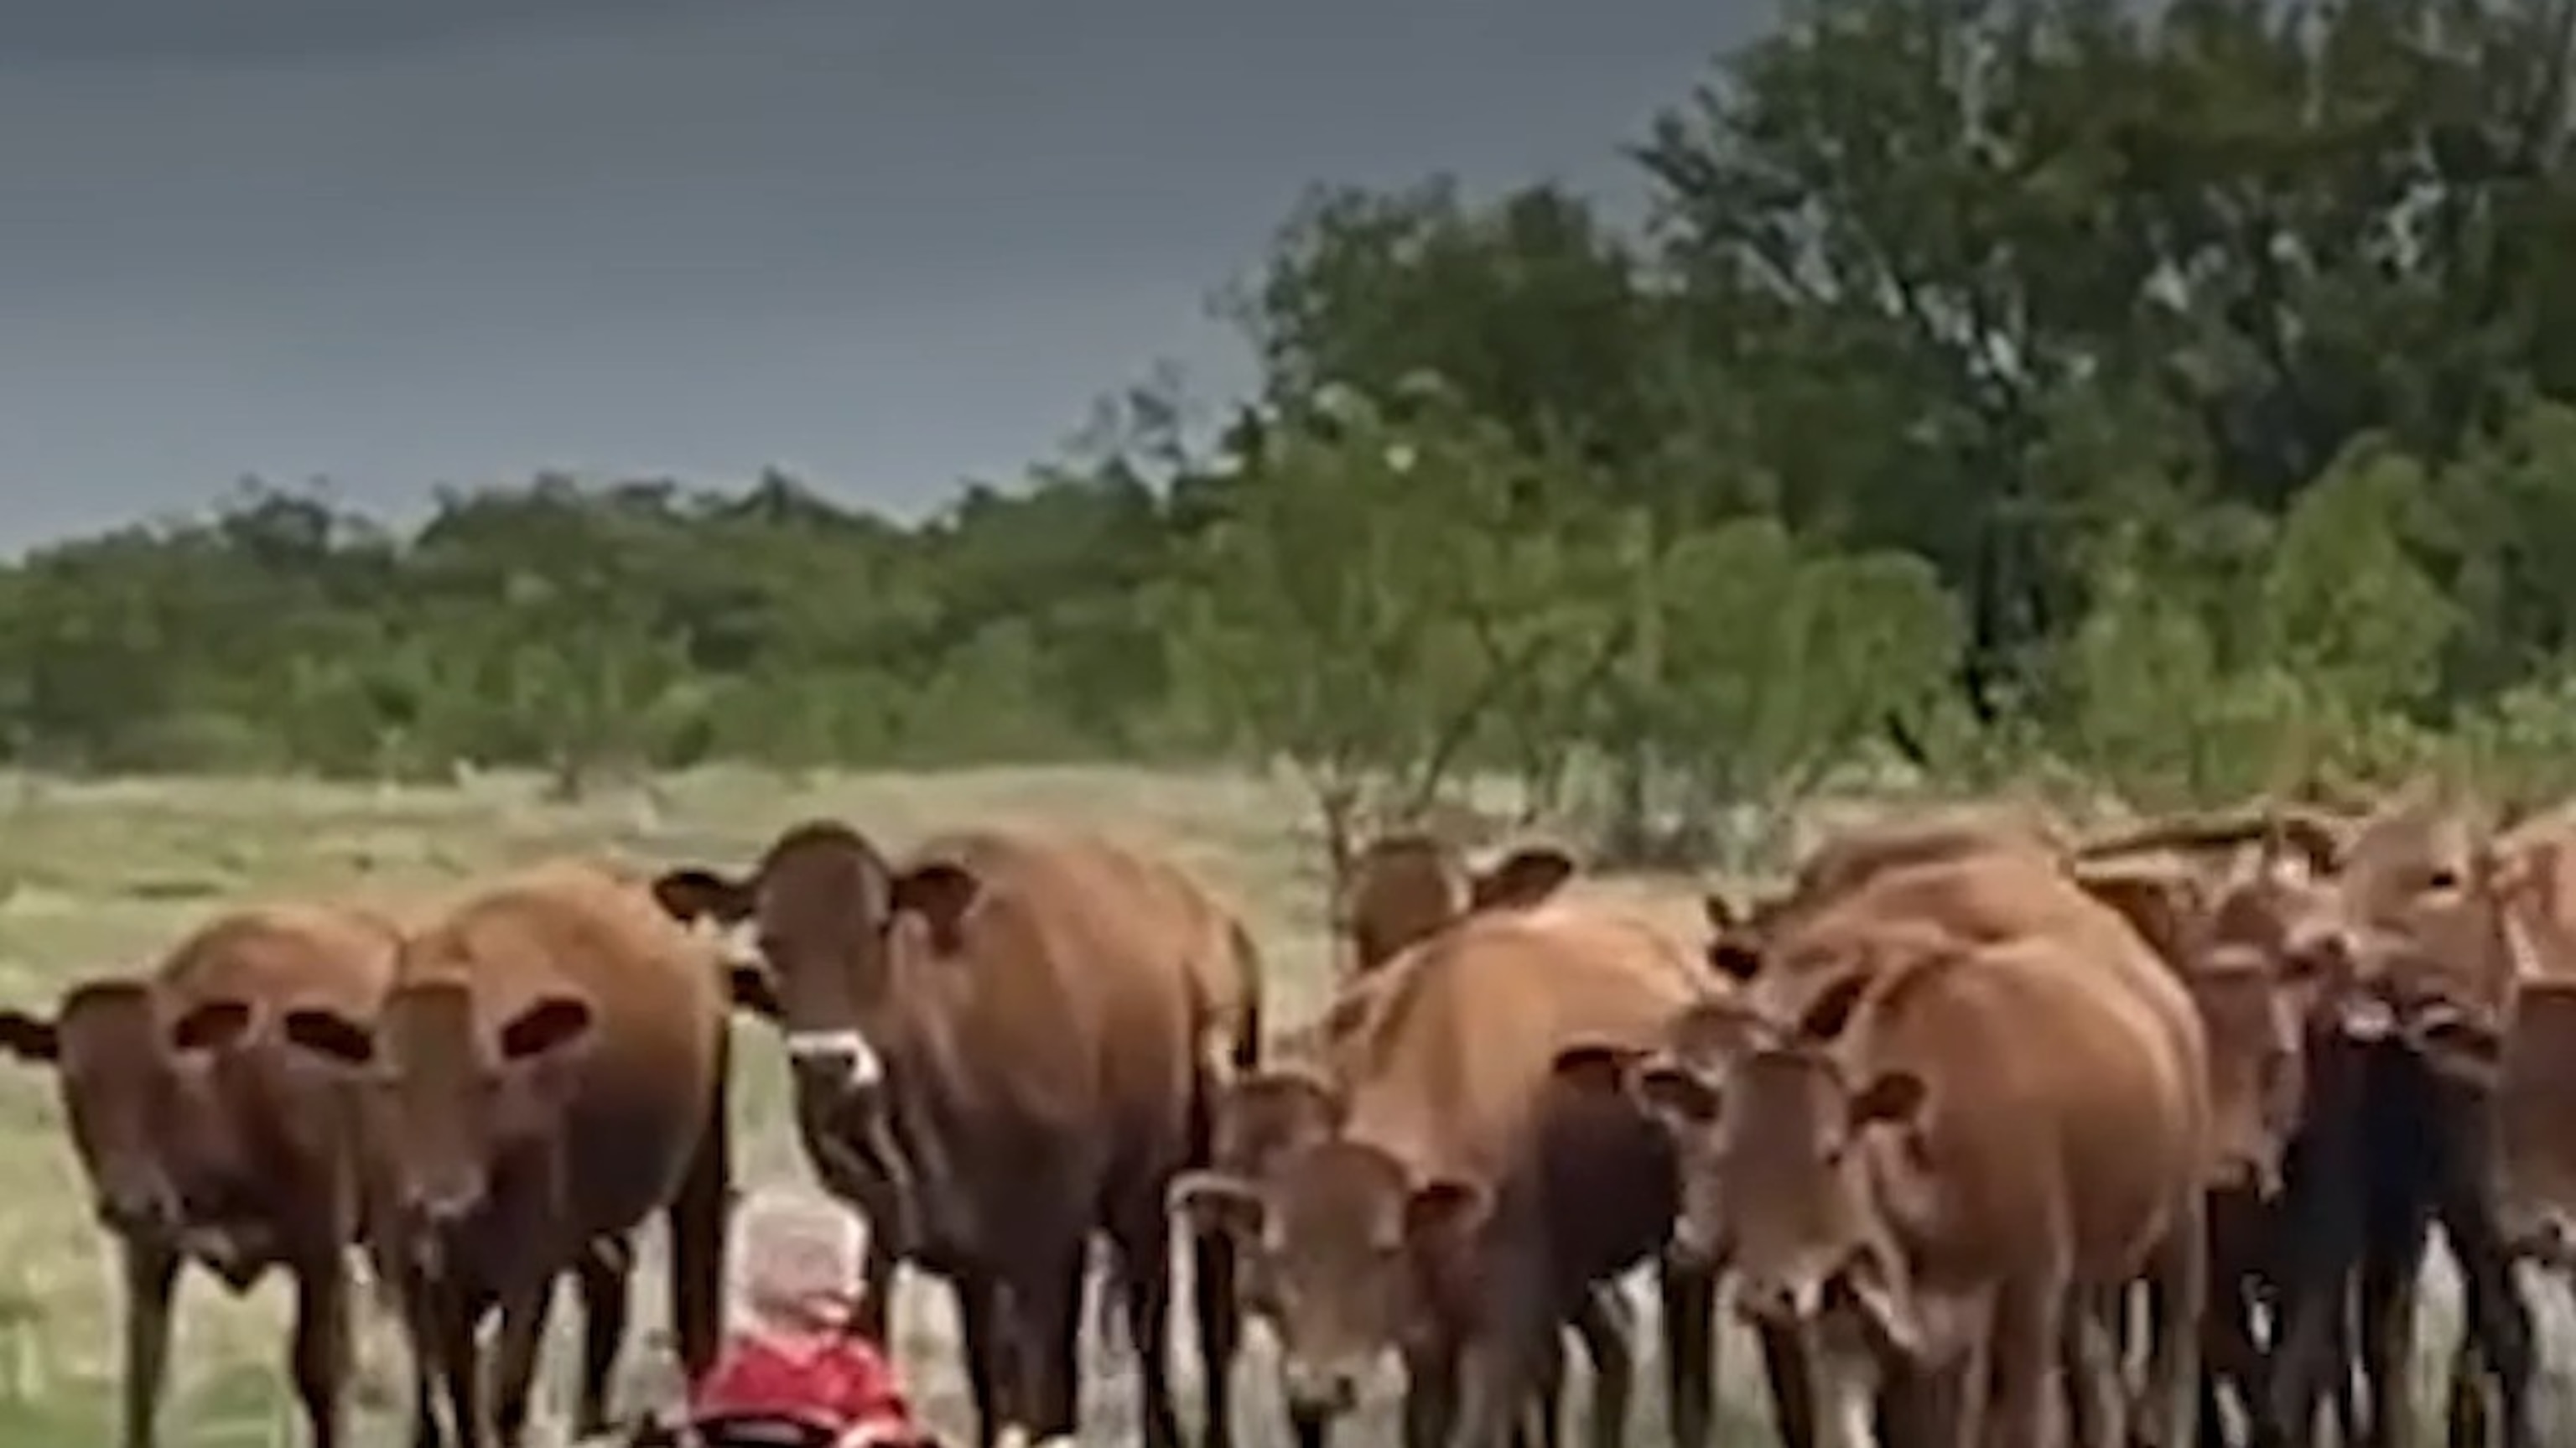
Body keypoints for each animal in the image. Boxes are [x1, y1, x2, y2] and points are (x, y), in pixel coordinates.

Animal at [0, 901, 402, 1448]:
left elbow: (322, 1375)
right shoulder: (150, 1252)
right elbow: (145, 1377)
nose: (129, 1201)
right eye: (72, 1081)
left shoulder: (323, 1252)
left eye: (164, 1075)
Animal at [270, 859, 734, 1448]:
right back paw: (589, 1422)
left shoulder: (527, 1268)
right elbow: (459, 1395)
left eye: (490, 1080)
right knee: (609, 1280)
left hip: (703, 1163)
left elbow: (505, 1392)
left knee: (696, 1304)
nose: (445, 1203)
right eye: (388, 1082)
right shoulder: (417, 1274)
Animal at [650, 824, 1263, 1448]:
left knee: (1191, 1323)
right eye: (772, 939)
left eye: (878, 930)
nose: (827, 1062)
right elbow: (980, 1379)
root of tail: (1211, 915)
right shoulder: (922, 1240)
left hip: (1183, 1189)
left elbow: (1051, 1395)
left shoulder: (1051, 1236)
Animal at [1170, 898, 1722, 1448]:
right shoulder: (1428, 1341)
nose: (1322, 1385)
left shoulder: (1504, 1332)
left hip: (1676, 1258)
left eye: (1384, 1249)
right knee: (1617, 1341)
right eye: (1279, 1250)